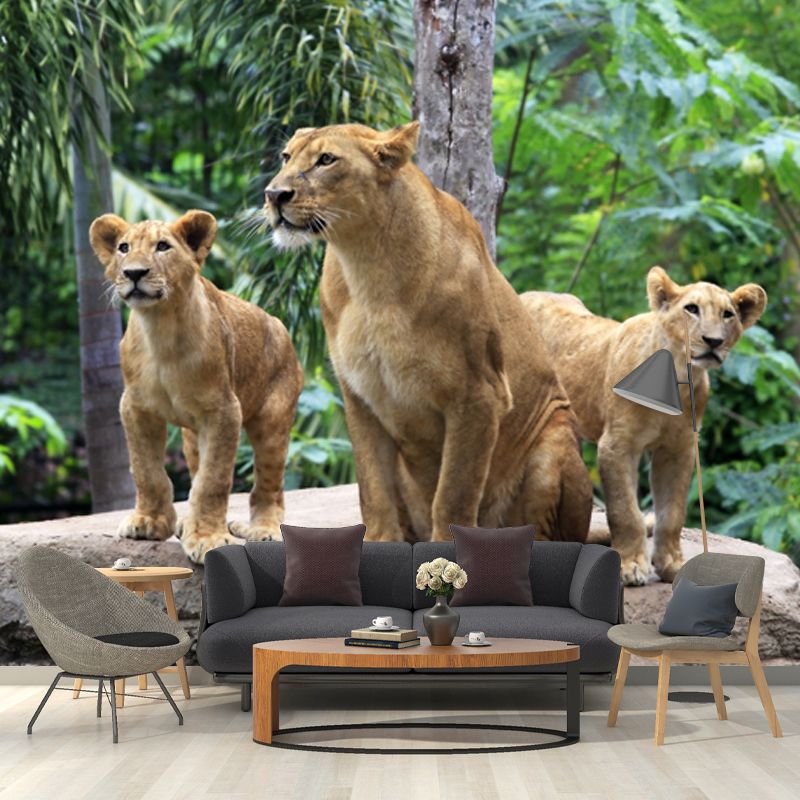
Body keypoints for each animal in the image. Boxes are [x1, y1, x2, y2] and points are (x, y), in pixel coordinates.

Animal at [89, 210, 303, 563]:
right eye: (123, 248)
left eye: (163, 246)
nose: (133, 273)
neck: (159, 328)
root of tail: (280, 326)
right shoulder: (135, 407)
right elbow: (146, 470)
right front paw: (149, 522)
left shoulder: (224, 411)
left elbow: (212, 480)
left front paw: (206, 538)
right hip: (191, 435)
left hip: (273, 419)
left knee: (269, 484)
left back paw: (265, 529)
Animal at [261, 122, 593, 543]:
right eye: (286, 157)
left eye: (326, 160)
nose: (274, 195)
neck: (366, 263)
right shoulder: (359, 394)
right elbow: (372, 488)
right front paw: (379, 542)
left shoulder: (480, 394)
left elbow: (454, 491)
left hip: (554, 438)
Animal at [521, 267, 767, 585]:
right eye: (692, 309)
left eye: (728, 315)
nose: (713, 341)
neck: (677, 376)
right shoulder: (617, 445)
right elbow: (625, 510)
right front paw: (630, 566)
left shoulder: (678, 449)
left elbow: (672, 513)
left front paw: (672, 564)